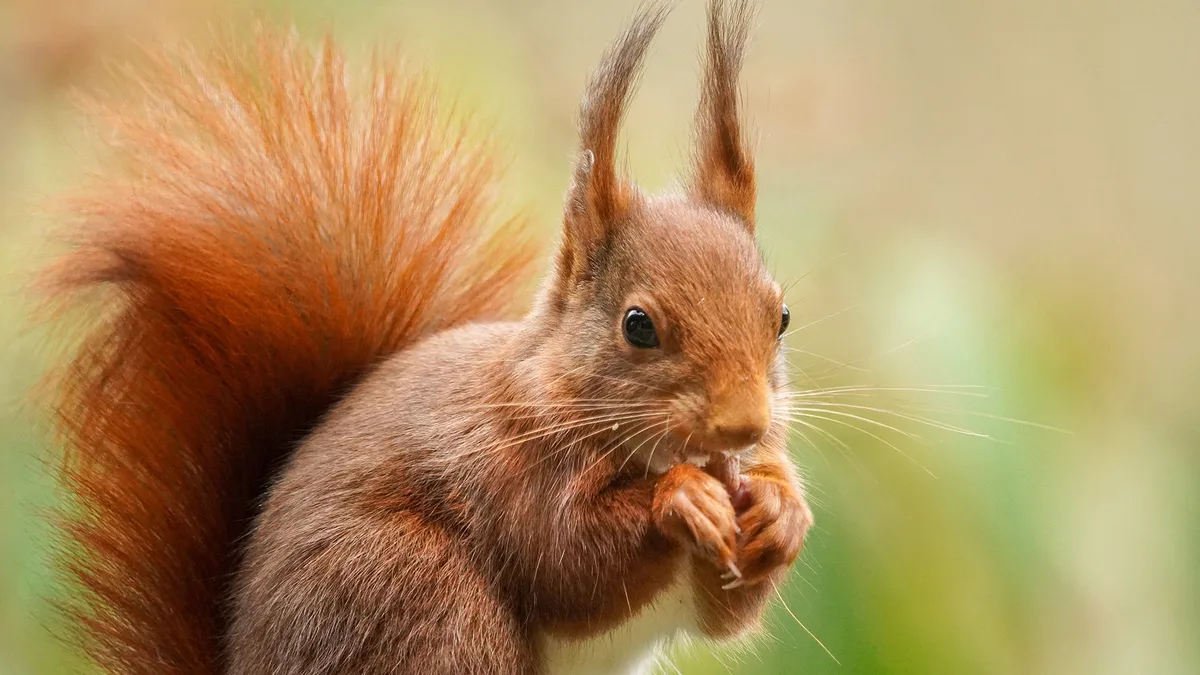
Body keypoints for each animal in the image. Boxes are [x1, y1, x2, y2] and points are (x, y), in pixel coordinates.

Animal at [41, 1, 812, 674]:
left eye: (781, 316)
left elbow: (726, 613)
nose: (745, 424)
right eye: (638, 326)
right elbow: (566, 559)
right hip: (426, 599)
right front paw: (680, 498)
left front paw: (781, 508)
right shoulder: (506, 463)